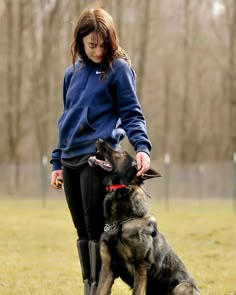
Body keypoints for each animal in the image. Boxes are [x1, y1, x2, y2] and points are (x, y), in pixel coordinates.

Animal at [89, 140, 200, 295]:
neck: (121, 222)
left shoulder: (140, 268)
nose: (99, 140)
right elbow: (100, 291)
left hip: (181, 287)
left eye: (122, 154)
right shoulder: (107, 269)